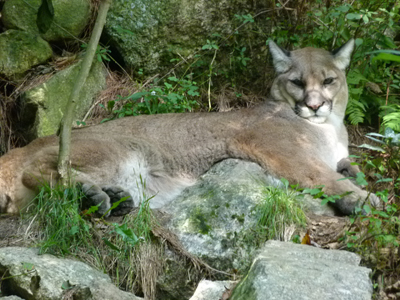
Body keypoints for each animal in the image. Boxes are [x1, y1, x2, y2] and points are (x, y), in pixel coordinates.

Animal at [0, 39, 378, 216]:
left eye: (328, 81)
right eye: (297, 82)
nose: (314, 105)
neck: (329, 126)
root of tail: (26, 144)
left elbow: (345, 165)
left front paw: (356, 177)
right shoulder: (279, 149)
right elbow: (321, 174)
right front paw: (362, 198)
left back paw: (107, 197)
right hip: (115, 149)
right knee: (38, 170)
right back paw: (90, 193)